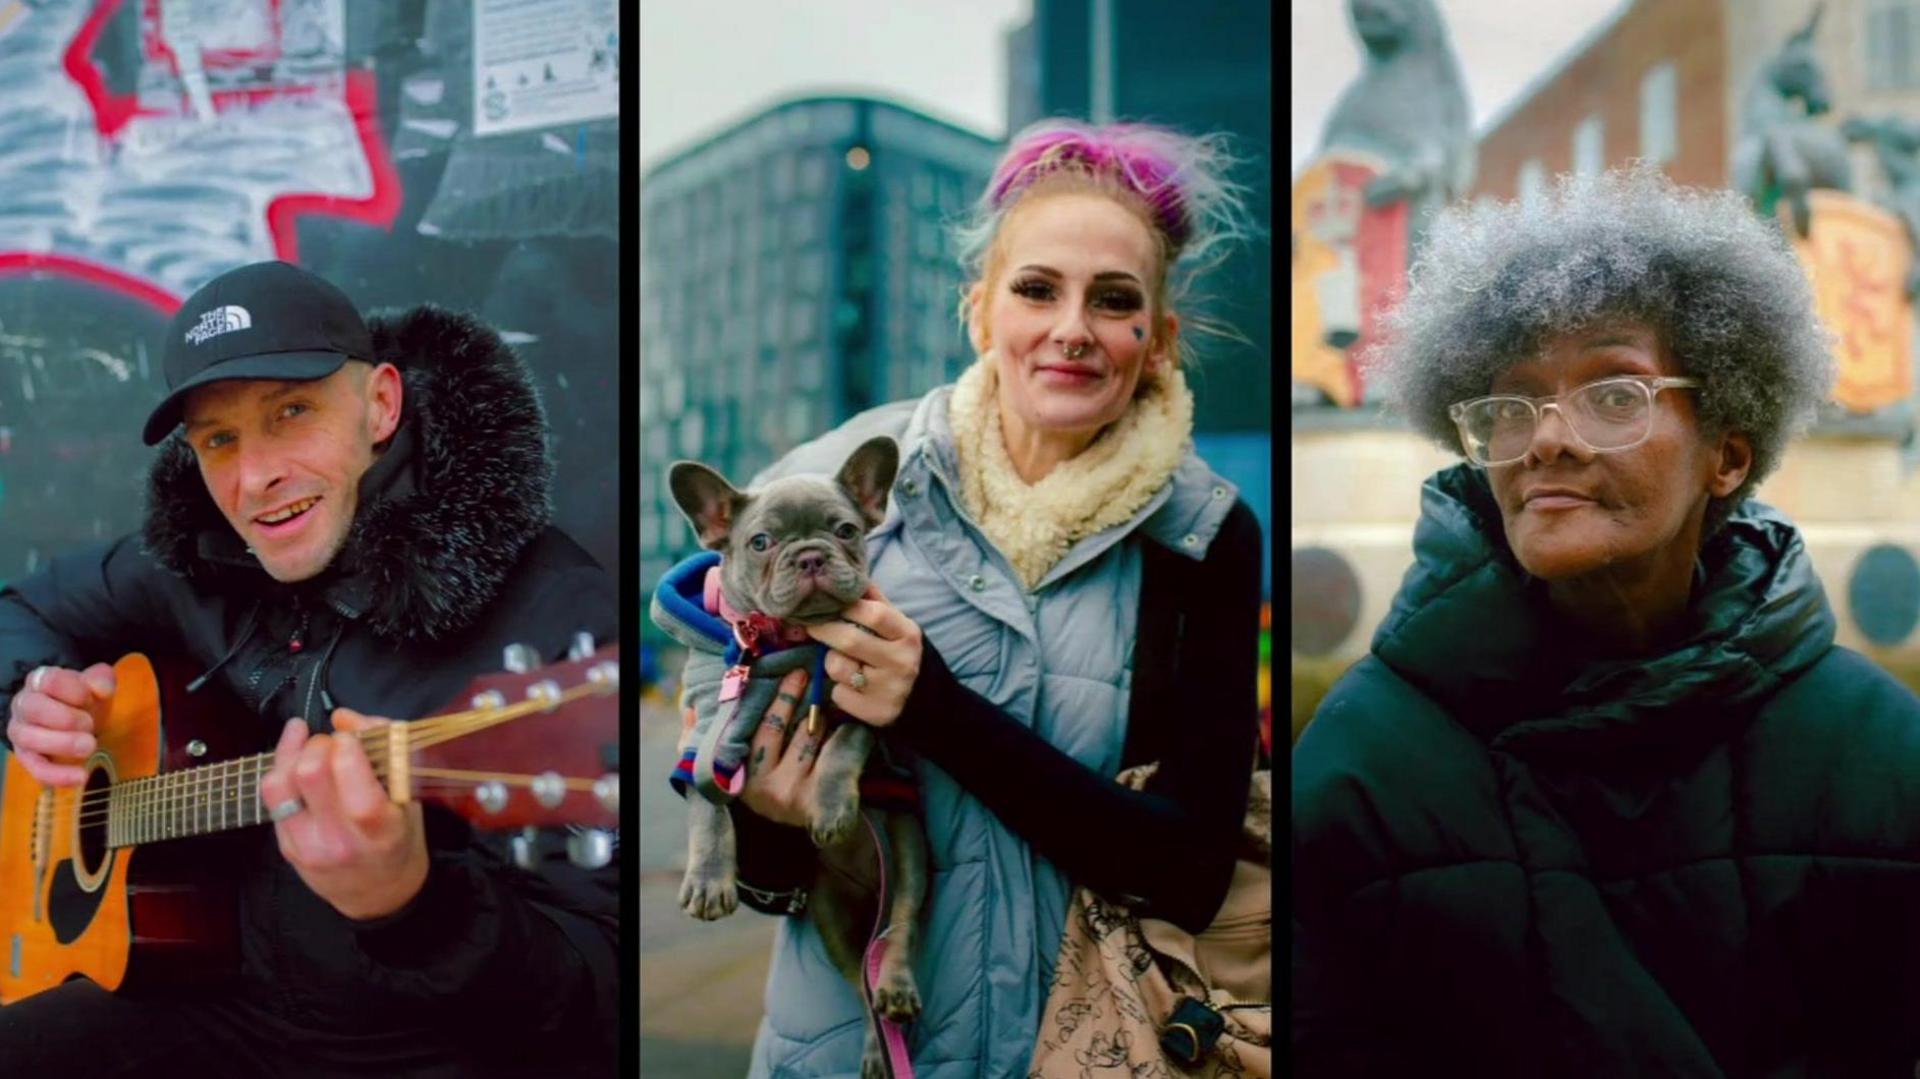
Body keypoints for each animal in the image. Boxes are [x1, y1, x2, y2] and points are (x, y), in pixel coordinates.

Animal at [668, 431, 929, 1067]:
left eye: (847, 530)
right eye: (760, 542)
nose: (810, 555)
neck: (791, 637)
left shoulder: (865, 703)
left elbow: (839, 752)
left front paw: (831, 809)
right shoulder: (706, 730)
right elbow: (710, 806)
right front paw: (709, 880)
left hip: (910, 855)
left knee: (899, 930)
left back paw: (896, 988)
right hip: (830, 913)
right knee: (857, 979)